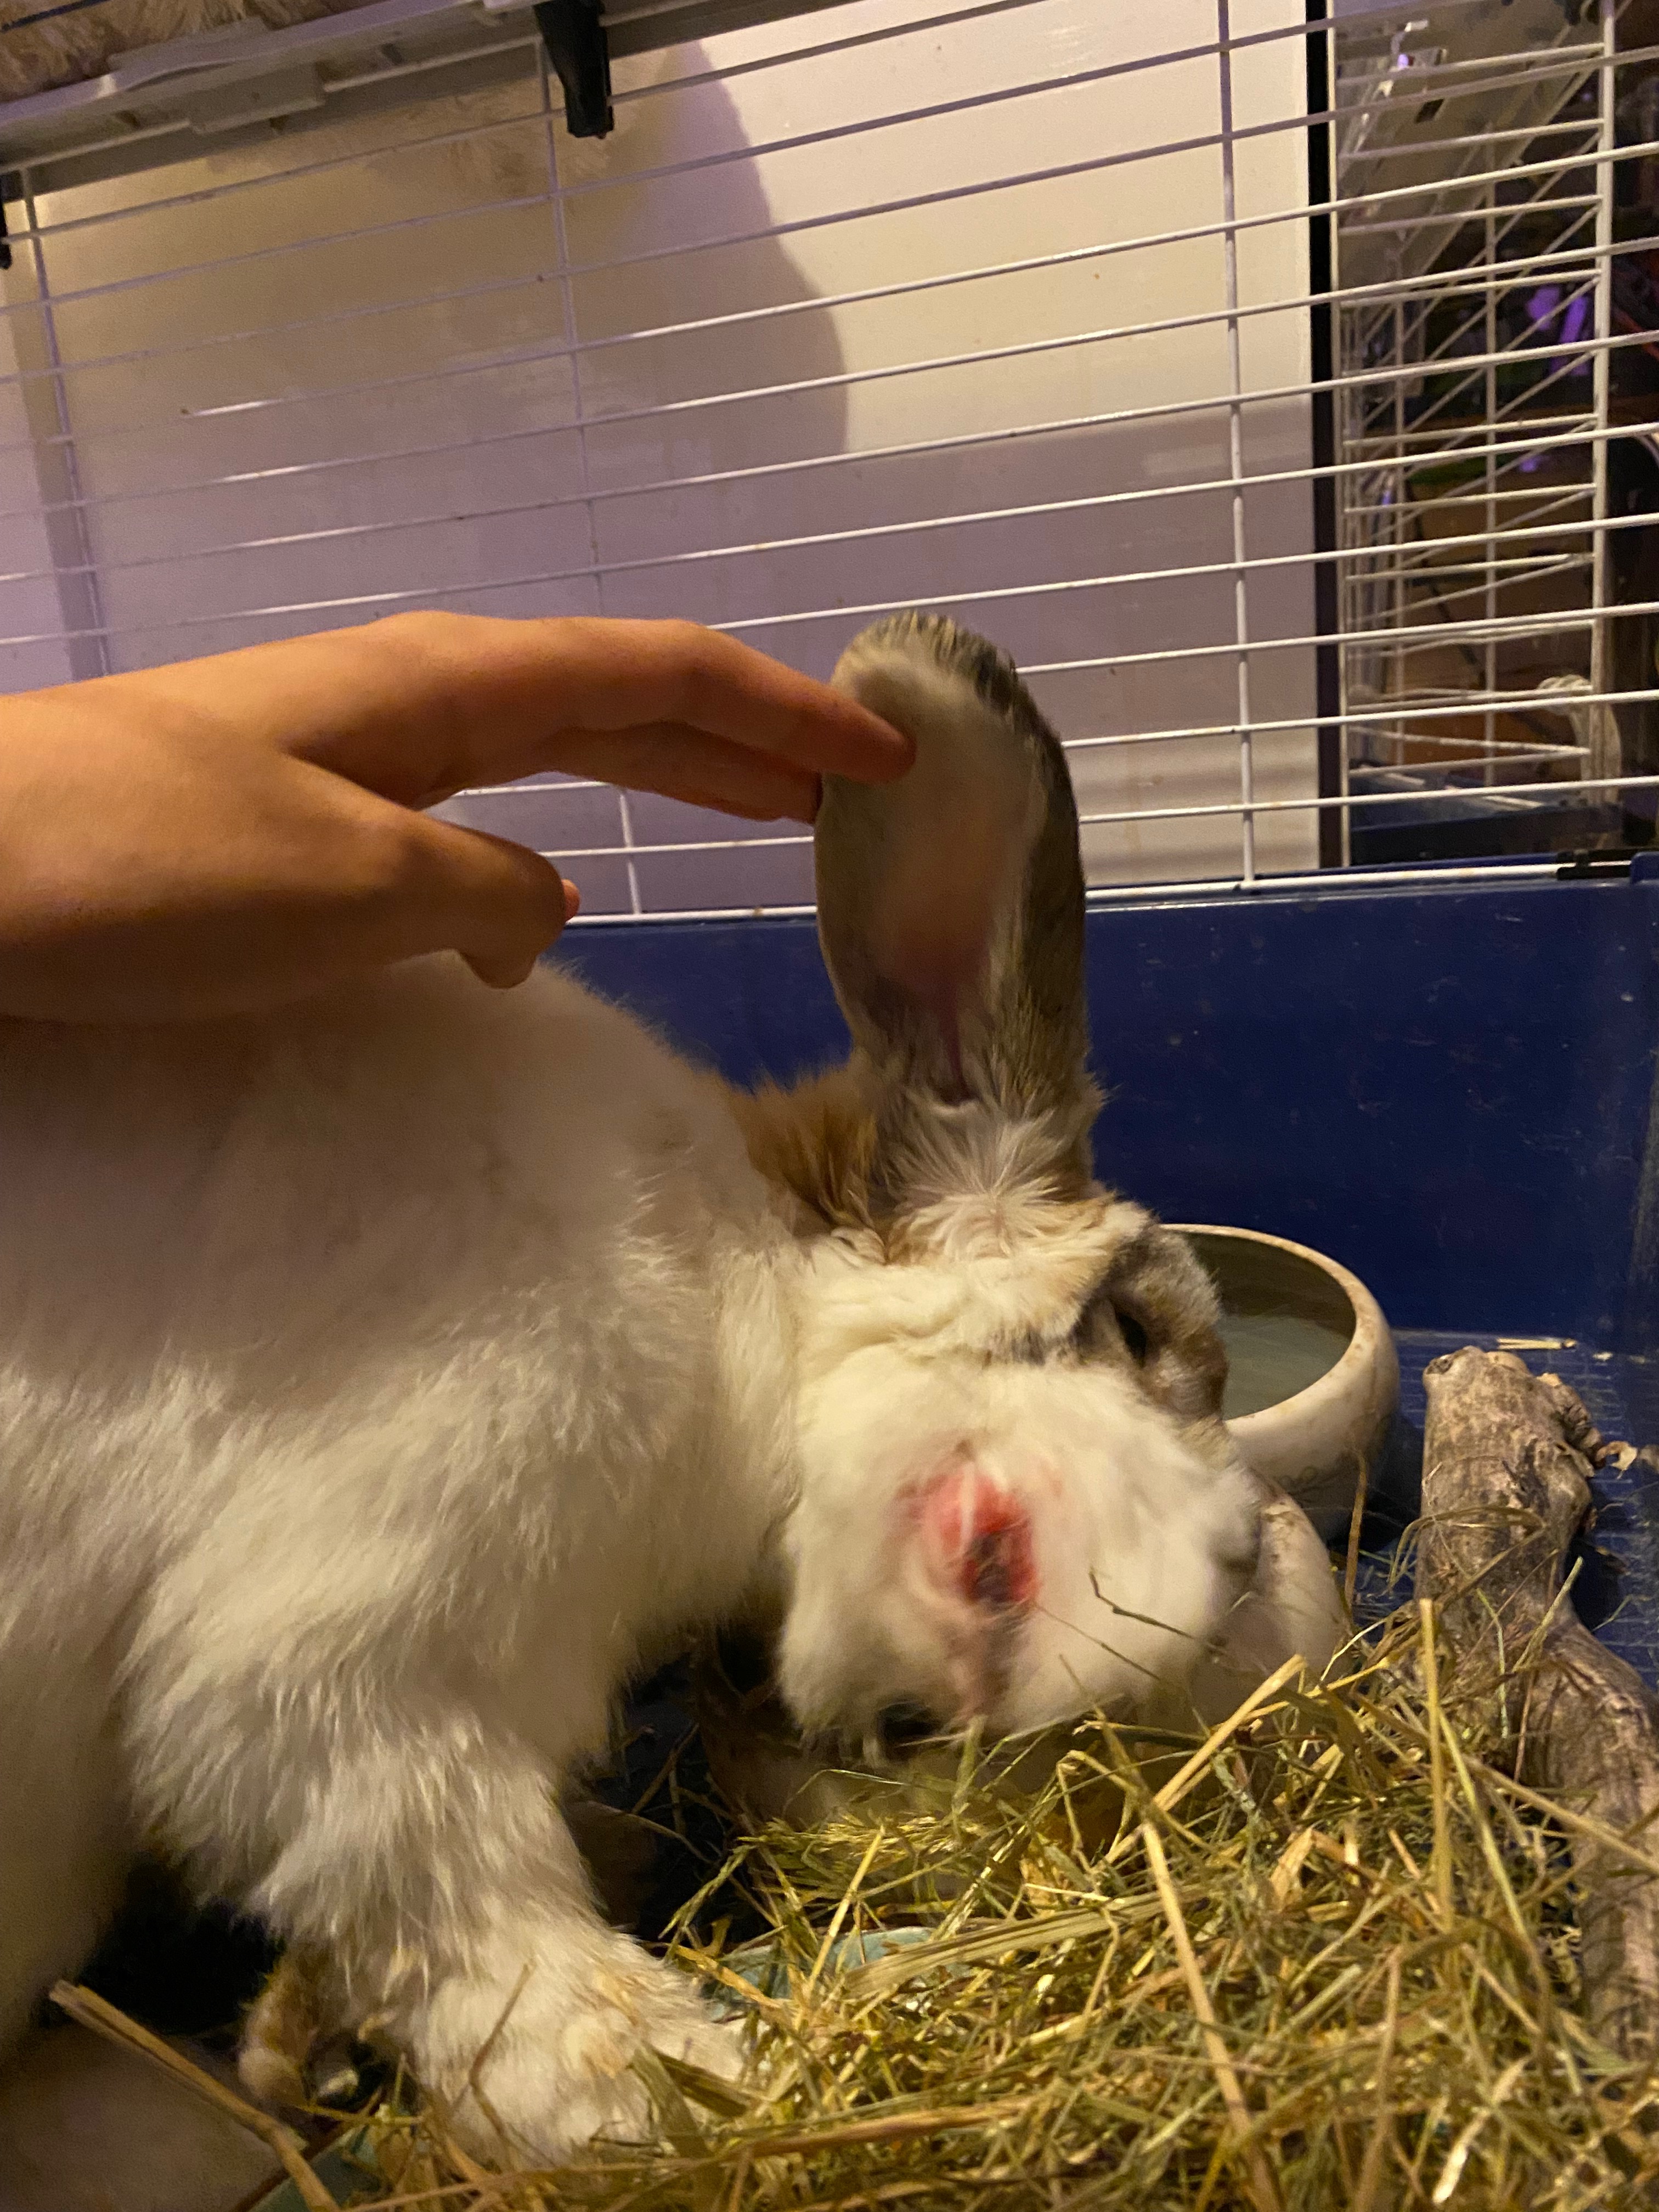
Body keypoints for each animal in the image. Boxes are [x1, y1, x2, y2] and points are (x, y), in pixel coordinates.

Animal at [0, 610, 1345, 2175]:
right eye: (1137, 1328)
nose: (1230, 1560)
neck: (734, 1312)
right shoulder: (337, 1653)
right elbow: (473, 1917)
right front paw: (680, 2085)